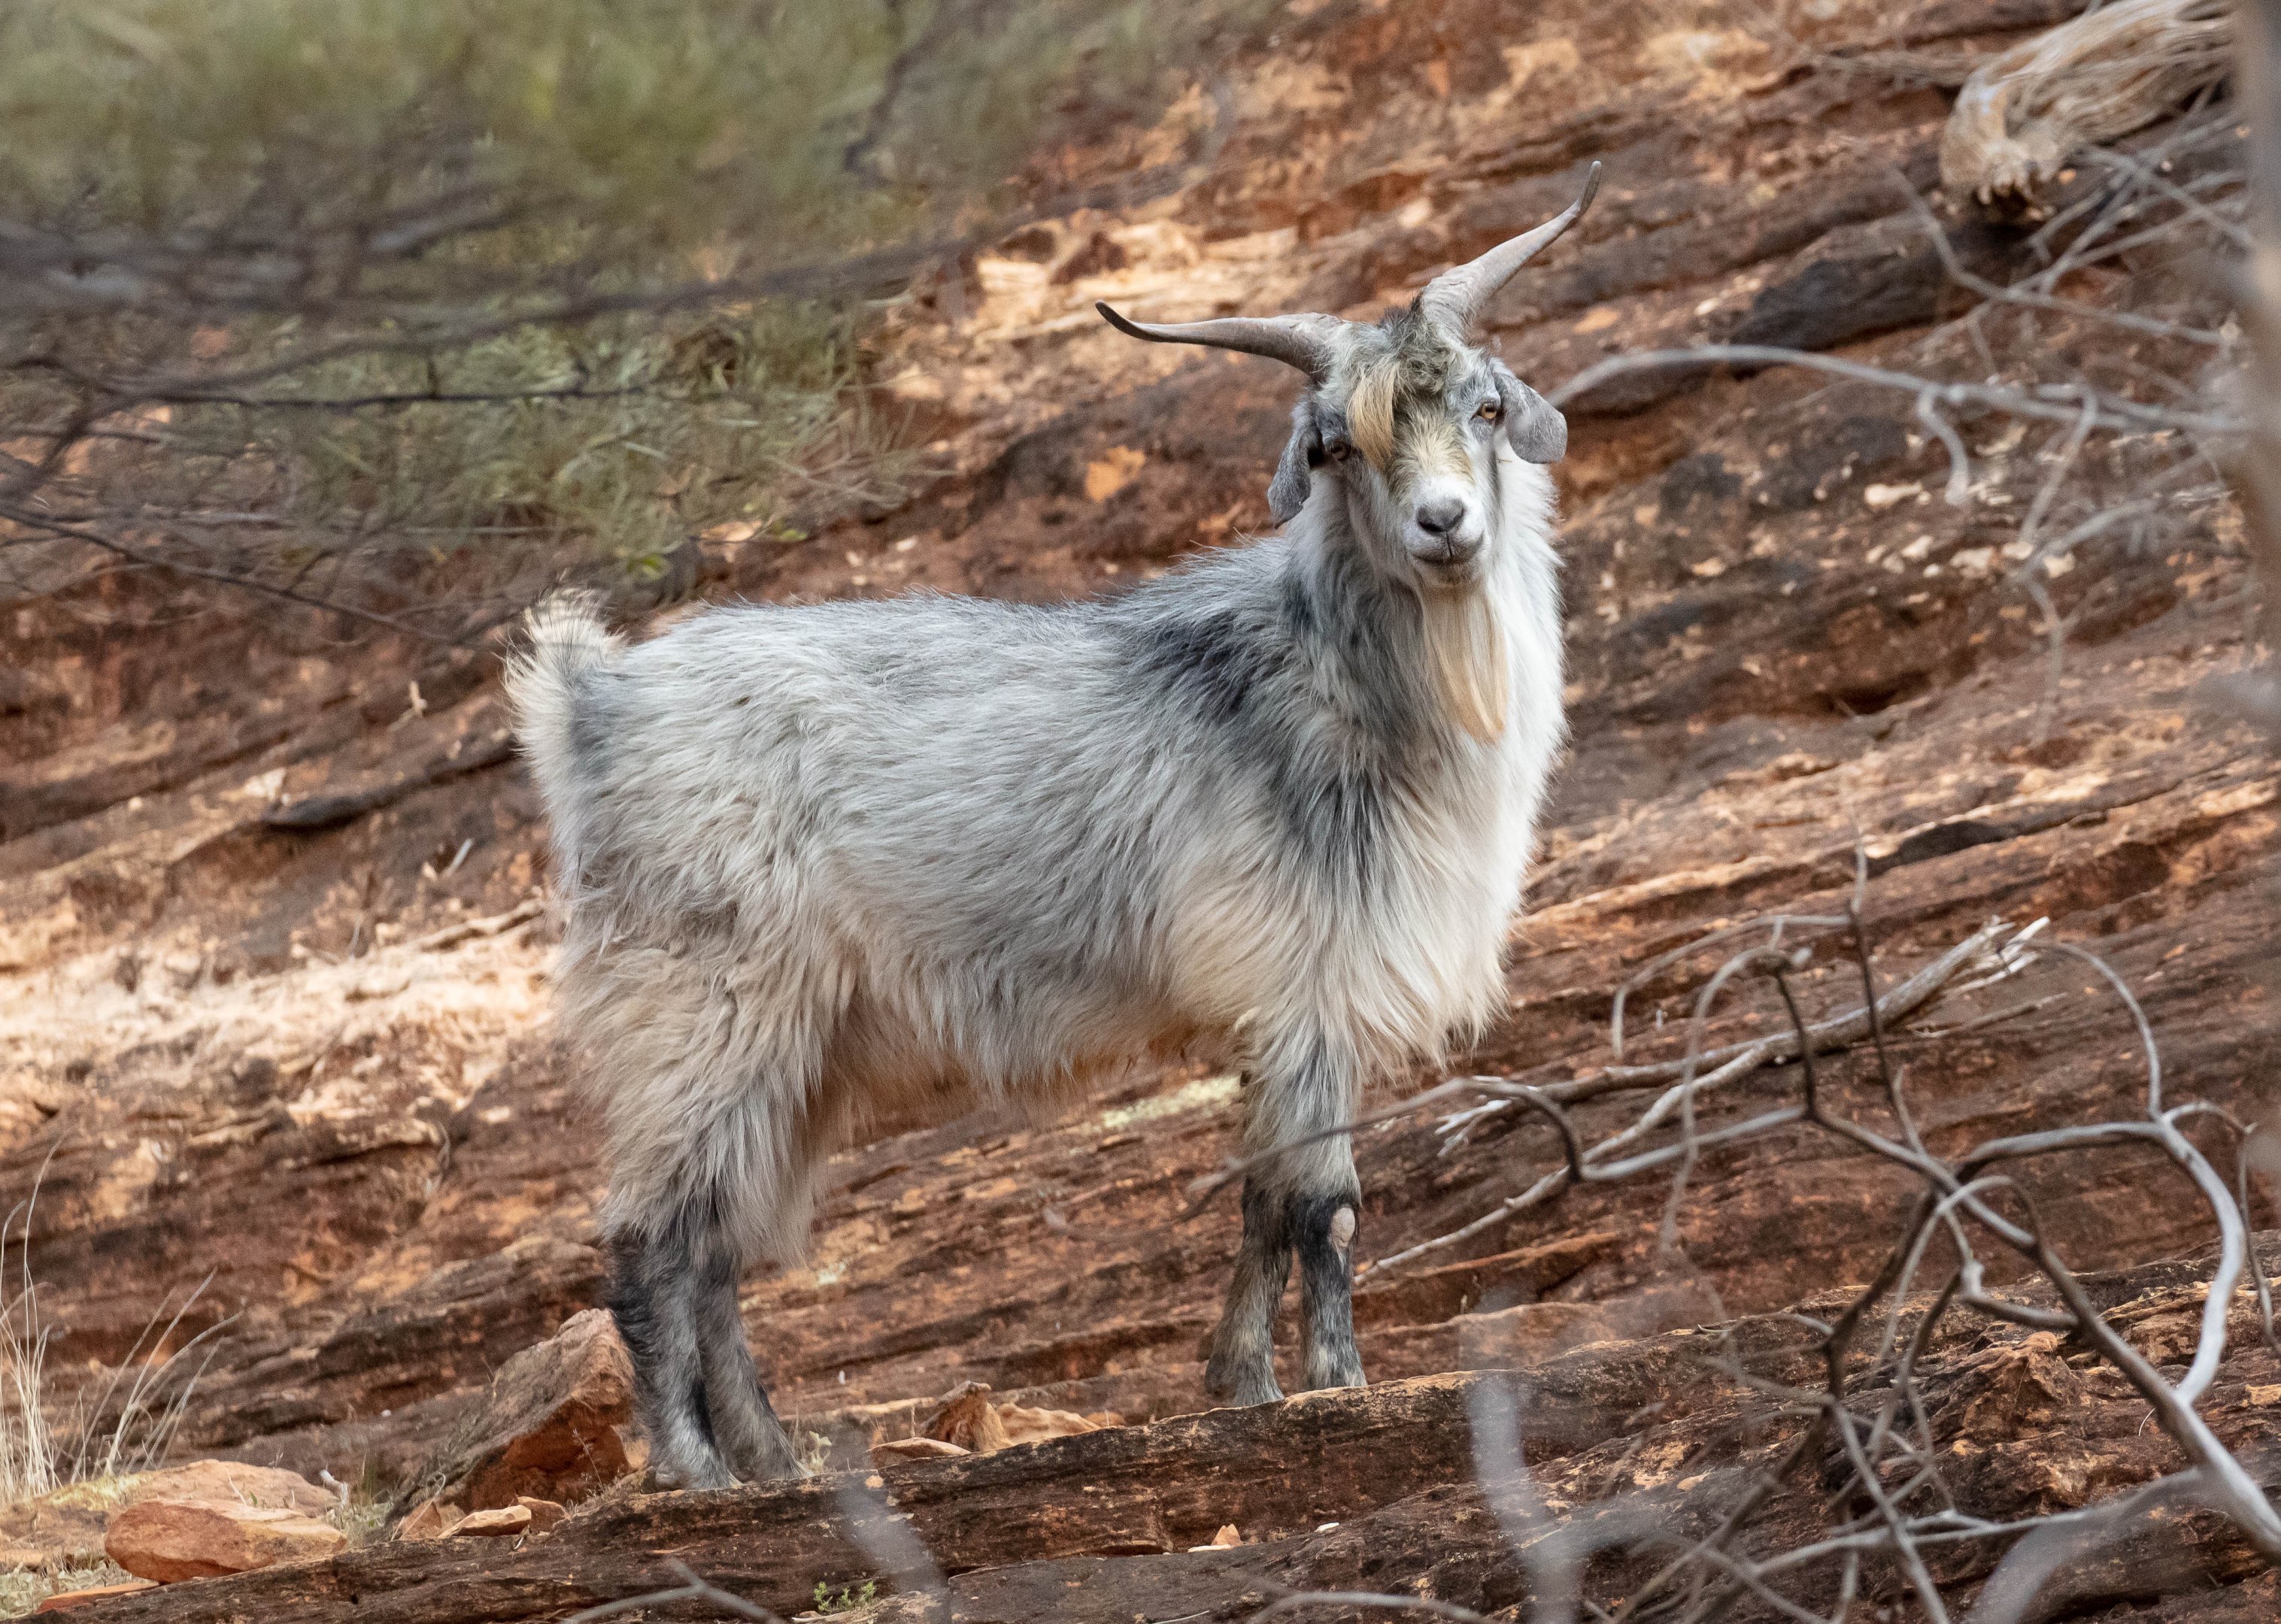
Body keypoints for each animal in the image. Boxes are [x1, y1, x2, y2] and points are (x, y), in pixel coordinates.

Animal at [507, 164, 1600, 1488]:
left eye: (1487, 407)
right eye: (1336, 444)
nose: (1445, 524)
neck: (1332, 678)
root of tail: (589, 703)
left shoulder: (1284, 1005)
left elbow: (1257, 1198)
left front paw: (1242, 1382)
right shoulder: (1307, 987)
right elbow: (1320, 1205)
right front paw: (1339, 1384)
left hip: (795, 1049)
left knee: (719, 1242)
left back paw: (779, 1461)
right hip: (695, 1010)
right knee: (649, 1233)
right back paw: (693, 1471)